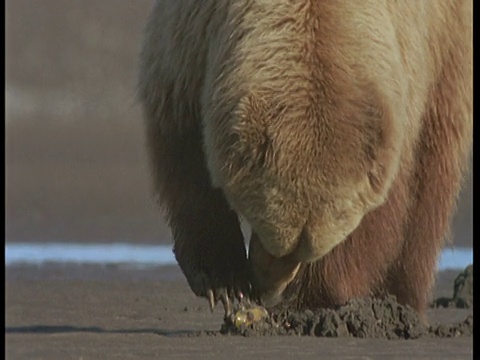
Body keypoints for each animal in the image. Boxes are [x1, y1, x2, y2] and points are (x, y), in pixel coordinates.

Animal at [138, 0, 472, 320]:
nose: (267, 290)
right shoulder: (196, 33)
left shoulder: (409, 57)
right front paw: (223, 283)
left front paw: (311, 299)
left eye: (307, 247)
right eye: (275, 233)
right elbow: (184, 144)